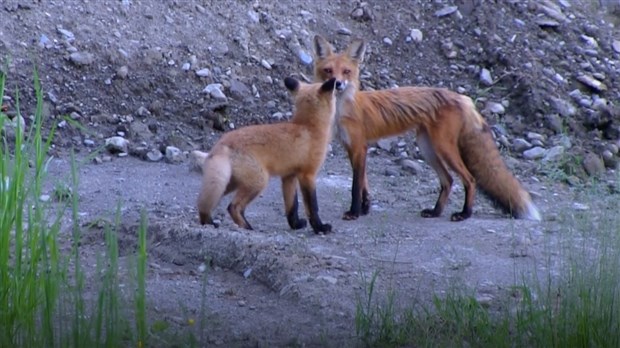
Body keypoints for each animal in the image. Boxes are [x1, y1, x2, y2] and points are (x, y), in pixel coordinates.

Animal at [197, 77, 340, 234]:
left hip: (227, 183)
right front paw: (320, 227)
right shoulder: (307, 174)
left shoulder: (289, 176)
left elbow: (292, 206)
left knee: (204, 204)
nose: (339, 83)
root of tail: (222, 142)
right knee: (233, 207)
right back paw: (248, 228)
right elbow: (312, 206)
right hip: (259, 181)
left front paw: (295, 224)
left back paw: (208, 223)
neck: (308, 127)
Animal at [312, 34, 540, 220]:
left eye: (346, 71)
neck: (345, 108)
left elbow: (355, 186)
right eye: (328, 71)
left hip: (443, 148)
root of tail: (462, 98)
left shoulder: (359, 147)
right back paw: (436, 211)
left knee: (470, 179)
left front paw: (355, 212)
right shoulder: (353, 149)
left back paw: (465, 214)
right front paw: (365, 208)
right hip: (427, 148)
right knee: (448, 180)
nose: (337, 84)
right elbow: (364, 184)